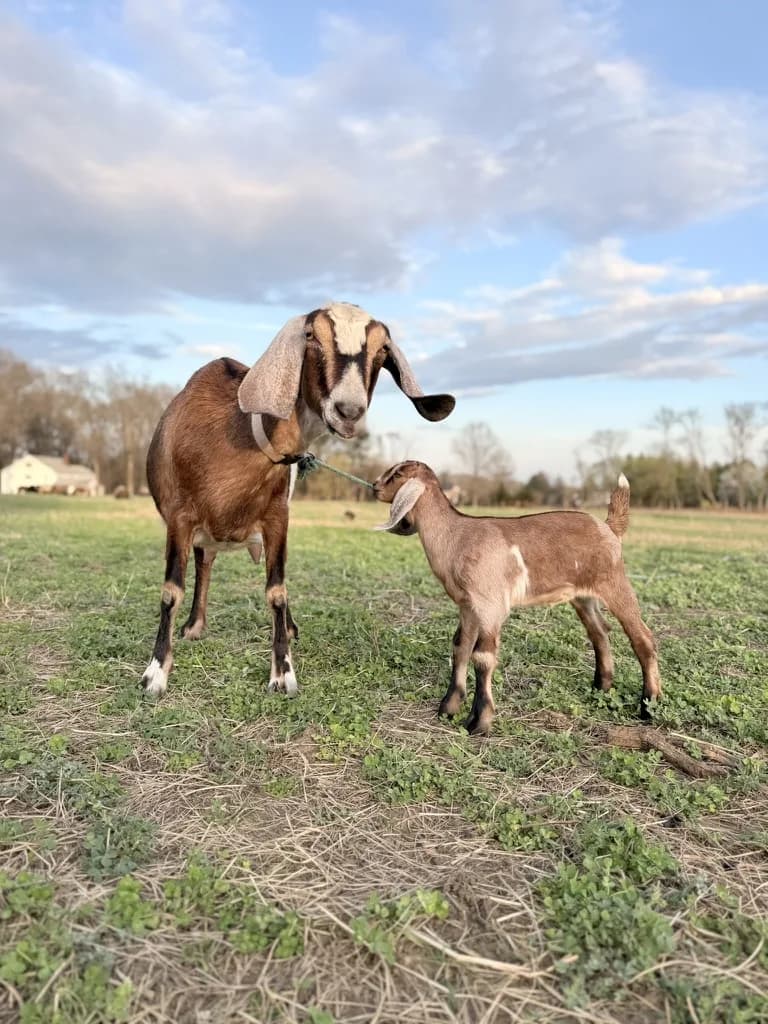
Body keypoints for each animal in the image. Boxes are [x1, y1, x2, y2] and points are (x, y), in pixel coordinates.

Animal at [141, 304, 454, 699]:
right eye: (311, 337)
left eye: (383, 349)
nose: (348, 410)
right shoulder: (179, 517)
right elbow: (171, 591)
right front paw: (155, 673)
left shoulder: (278, 516)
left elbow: (277, 591)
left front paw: (282, 672)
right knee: (205, 561)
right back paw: (195, 625)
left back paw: (283, 628)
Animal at [373, 461, 661, 735]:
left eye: (397, 474)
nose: (375, 487)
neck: (456, 535)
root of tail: (608, 528)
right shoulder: (468, 606)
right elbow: (460, 647)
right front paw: (449, 707)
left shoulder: (490, 605)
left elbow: (483, 657)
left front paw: (479, 722)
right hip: (583, 596)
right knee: (599, 631)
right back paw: (601, 687)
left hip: (615, 583)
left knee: (642, 637)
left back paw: (649, 705)